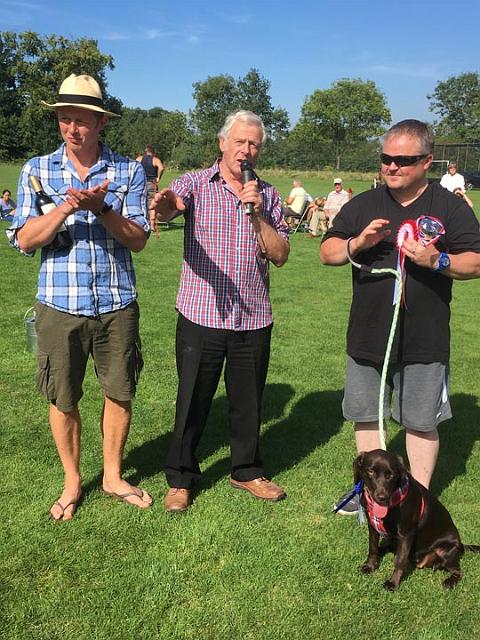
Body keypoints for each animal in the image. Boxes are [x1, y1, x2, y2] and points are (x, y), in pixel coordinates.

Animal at [352, 450, 480, 592]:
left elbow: (400, 560)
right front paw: (370, 566)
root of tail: (461, 545)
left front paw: (393, 583)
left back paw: (450, 581)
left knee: (458, 571)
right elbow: (372, 548)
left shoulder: (406, 534)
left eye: (391, 475)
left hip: (445, 551)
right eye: (370, 472)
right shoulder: (372, 526)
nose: (382, 497)